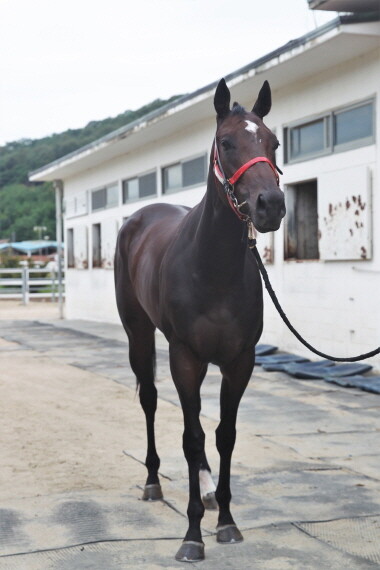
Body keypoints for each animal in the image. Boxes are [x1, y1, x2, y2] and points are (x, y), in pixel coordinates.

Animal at [114, 79, 286, 560]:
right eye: (226, 142)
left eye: (273, 142)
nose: (270, 205)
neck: (213, 266)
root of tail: (140, 215)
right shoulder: (185, 356)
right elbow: (192, 437)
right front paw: (192, 535)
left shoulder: (239, 360)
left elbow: (223, 433)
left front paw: (226, 520)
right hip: (139, 334)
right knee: (152, 401)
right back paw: (153, 482)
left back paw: (208, 491)